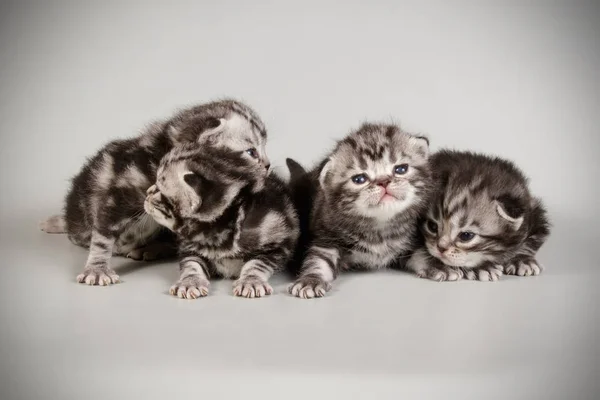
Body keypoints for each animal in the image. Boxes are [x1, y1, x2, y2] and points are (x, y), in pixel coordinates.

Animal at [41, 98, 268, 286]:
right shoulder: (118, 193)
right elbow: (103, 236)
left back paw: (150, 248)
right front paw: (97, 269)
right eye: (251, 152)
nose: (267, 165)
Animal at [143, 143, 298, 296]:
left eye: (160, 190)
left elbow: (256, 264)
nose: (147, 192)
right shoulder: (189, 246)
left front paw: (251, 281)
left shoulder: (277, 245)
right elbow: (191, 264)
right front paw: (190, 282)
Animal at [288, 123, 432, 298]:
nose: (383, 181)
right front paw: (311, 280)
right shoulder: (326, 237)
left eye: (401, 169)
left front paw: (438, 266)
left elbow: (421, 252)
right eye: (359, 179)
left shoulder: (409, 238)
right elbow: (318, 260)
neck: (379, 228)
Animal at [406, 149, 552, 282]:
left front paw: (522, 259)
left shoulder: (534, 214)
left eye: (466, 236)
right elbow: (417, 252)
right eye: (432, 226)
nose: (441, 248)